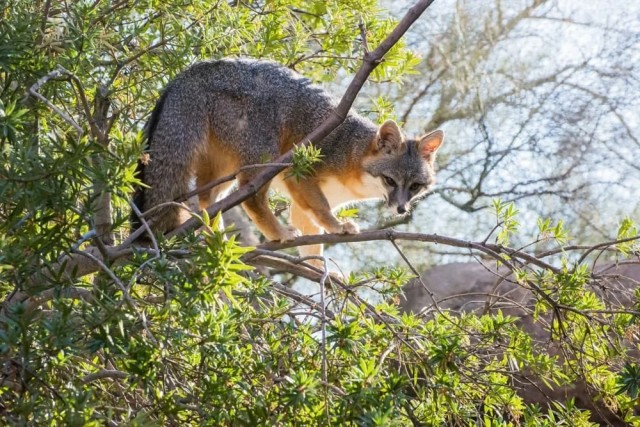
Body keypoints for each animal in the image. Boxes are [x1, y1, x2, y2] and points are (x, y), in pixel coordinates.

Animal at [132, 58, 444, 263]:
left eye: (415, 186)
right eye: (390, 180)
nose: (401, 208)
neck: (352, 152)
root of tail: (196, 70)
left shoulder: (304, 205)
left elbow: (314, 244)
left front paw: (321, 275)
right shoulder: (299, 174)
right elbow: (321, 210)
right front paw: (337, 227)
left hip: (224, 168)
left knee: (207, 199)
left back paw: (216, 238)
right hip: (262, 160)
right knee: (250, 197)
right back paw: (277, 232)